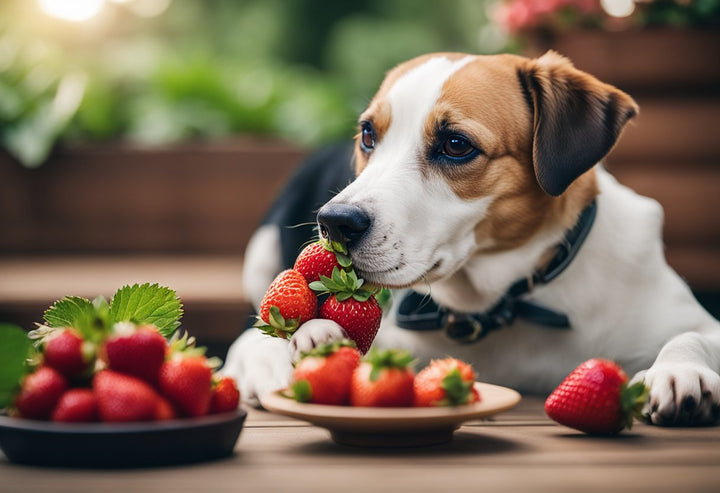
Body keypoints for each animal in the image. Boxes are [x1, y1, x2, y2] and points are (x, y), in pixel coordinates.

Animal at [226, 51, 720, 426]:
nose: (333, 222)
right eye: (368, 134)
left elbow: (690, 336)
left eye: (456, 145)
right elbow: (258, 340)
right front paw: (311, 341)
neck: (503, 302)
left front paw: (680, 370)